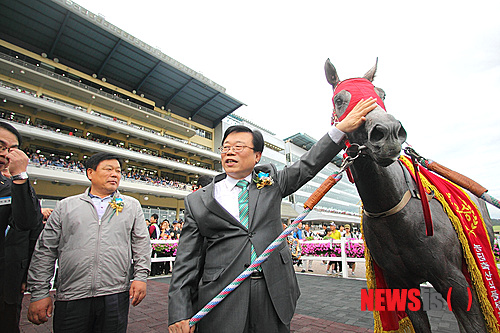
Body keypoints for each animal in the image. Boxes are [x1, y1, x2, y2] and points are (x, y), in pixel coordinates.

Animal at [326, 58, 494, 330]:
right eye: (339, 99)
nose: (388, 132)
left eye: (382, 94)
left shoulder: (455, 282)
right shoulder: (400, 283)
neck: (394, 209)